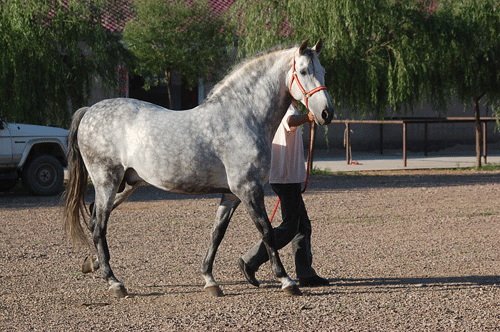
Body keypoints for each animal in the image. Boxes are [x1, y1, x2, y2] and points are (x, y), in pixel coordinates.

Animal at [64, 39, 334, 298]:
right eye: (303, 71)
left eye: (323, 71)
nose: (326, 113)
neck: (242, 117)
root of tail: (89, 111)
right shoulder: (249, 189)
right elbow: (267, 232)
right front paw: (286, 280)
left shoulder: (231, 195)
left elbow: (217, 234)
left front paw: (209, 280)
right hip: (106, 181)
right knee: (99, 227)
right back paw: (114, 283)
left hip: (125, 185)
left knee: (94, 218)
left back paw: (95, 264)